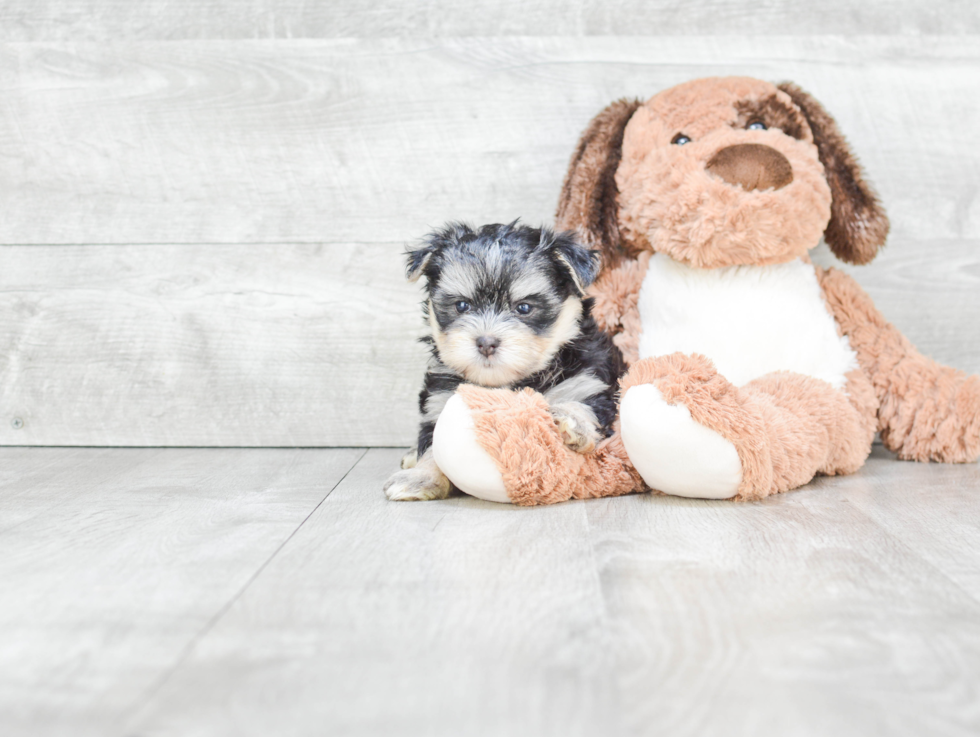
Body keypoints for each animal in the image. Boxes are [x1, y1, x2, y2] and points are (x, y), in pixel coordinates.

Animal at [384, 220, 624, 500]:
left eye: (524, 308)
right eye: (462, 306)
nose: (486, 342)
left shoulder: (588, 383)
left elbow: (585, 407)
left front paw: (571, 420)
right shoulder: (440, 401)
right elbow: (434, 444)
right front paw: (420, 477)